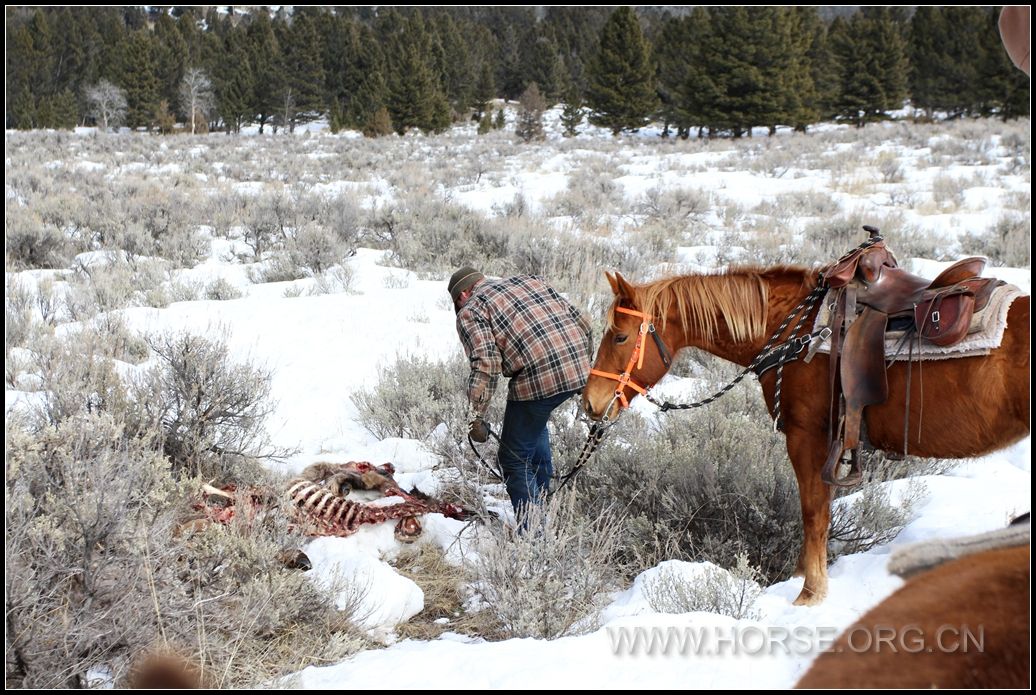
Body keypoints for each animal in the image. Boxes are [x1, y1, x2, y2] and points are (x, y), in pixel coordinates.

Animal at [584, 269, 1027, 604]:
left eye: (620, 336)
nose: (590, 402)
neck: (795, 332)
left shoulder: (805, 436)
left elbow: (813, 511)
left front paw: (810, 593)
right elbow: (820, 509)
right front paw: (800, 577)